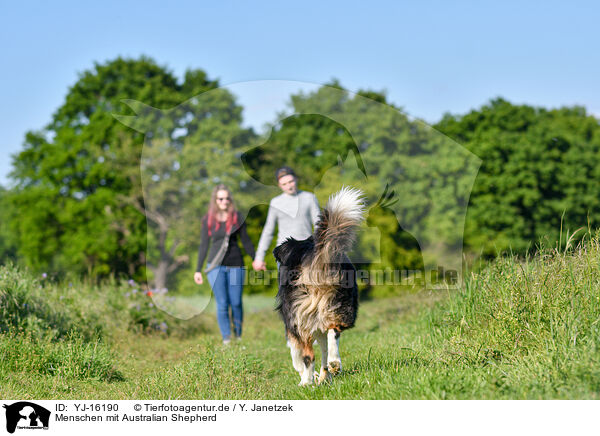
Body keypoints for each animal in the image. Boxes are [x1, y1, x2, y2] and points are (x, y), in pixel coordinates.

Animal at [274, 186, 366, 384]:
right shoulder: (318, 324)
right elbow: (322, 347)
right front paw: (325, 376)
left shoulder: (293, 327)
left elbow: (296, 356)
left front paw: (307, 377)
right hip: (340, 305)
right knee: (333, 332)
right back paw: (334, 364)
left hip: (301, 318)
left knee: (309, 355)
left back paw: (307, 382)